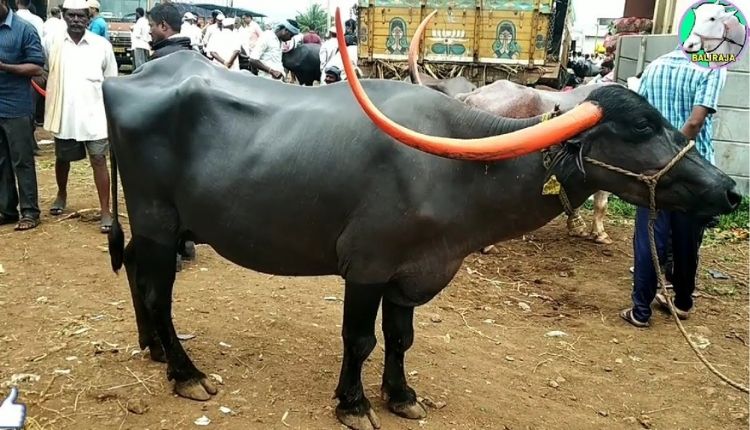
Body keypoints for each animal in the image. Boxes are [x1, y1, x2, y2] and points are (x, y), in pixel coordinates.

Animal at [103, 48, 744, 428]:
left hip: (159, 228)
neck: (457, 166)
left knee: (134, 267)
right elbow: (361, 339)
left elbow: (401, 338)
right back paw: (185, 373)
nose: (729, 190)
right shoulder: (365, 267)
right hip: (159, 221)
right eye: (640, 126)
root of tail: (124, 78)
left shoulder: (413, 273)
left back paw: (153, 347)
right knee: (158, 290)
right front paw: (355, 404)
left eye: (665, 119)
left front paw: (402, 395)